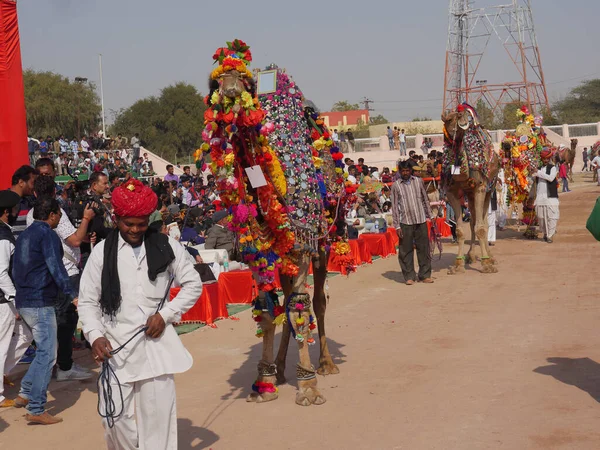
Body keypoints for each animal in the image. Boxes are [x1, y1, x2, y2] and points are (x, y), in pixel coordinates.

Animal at [200, 43, 350, 408]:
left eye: (245, 81)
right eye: (215, 82)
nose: (230, 90)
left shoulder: (302, 248)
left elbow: (300, 308)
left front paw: (308, 387)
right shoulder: (259, 257)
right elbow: (267, 311)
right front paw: (265, 380)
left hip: (326, 241)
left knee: (317, 302)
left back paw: (325, 364)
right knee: (285, 303)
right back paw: (281, 368)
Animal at [440, 104, 502, 274]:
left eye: (461, 114)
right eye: (449, 119)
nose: (462, 119)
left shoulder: (480, 187)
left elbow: (481, 227)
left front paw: (486, 264)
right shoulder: (452, 192)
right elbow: (460, 230)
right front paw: (458, 264)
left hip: (489, 188)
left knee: (483, 221)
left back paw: (490, 257)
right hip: (469, 193)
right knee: (473, 220)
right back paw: (470, 255)